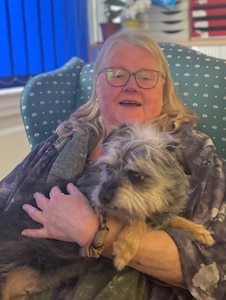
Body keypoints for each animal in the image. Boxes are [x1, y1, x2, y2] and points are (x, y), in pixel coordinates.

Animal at [0, 123, 214, 298]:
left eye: (135, 175)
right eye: (108, 167)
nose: (101, 196)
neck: (157, 198)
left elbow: (174, 219)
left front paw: (199, 230)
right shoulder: (97, 207)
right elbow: (136, 217)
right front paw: (125, 248)